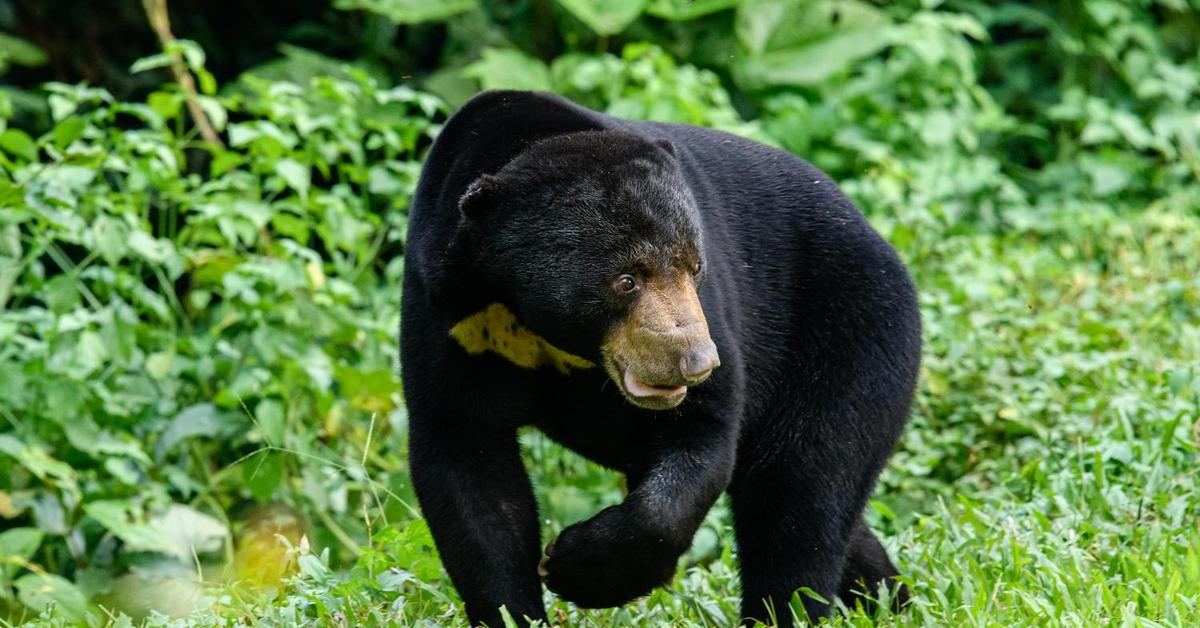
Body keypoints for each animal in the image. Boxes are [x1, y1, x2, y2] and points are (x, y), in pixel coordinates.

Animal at [400, 92, 916, 628]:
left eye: (694, 266)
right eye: (626, 279)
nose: (696, 361)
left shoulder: (716, 315)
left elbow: (702, 435)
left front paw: (578, 567)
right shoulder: (448, 318)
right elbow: (469, 466)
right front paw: (514, 609)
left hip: (852, 334)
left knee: (804, 488)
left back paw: (790, 610)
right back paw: (887, 597)